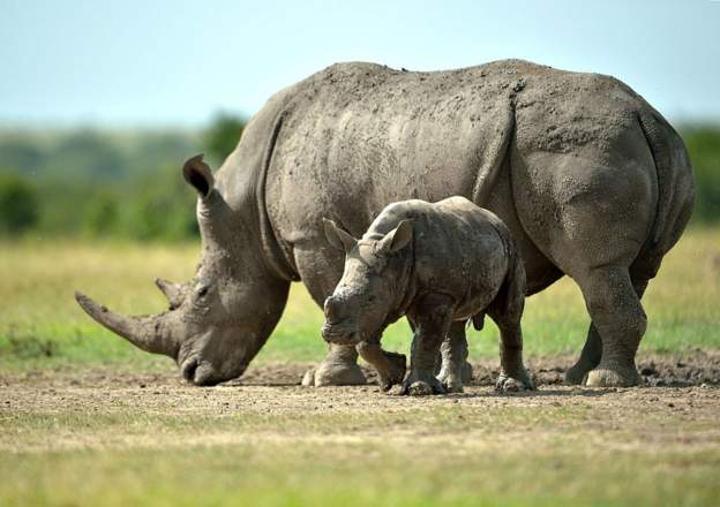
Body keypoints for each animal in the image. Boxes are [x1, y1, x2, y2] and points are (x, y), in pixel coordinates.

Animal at [322, 197, 534, 395]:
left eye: (370, 298)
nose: (333, 334)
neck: (397, 256)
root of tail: (495, 219)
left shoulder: (432, 292)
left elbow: (424, 341)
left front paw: (418, 389)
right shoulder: (386, 296)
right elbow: (366, 342)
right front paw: (393, 376)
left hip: (511, 249)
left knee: (507, 316)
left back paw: (513, 387)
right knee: (454, 321)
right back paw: (449, 386)